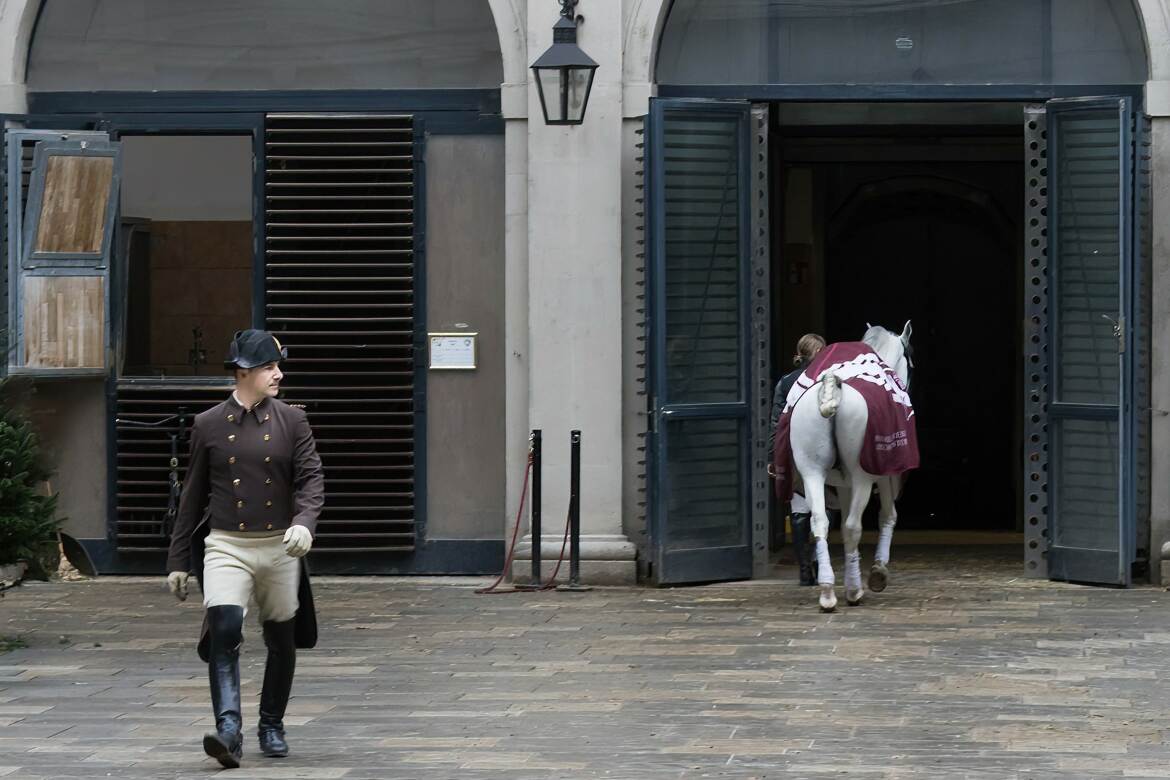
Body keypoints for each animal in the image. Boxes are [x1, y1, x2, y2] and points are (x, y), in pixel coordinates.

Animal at [786, 320, 912, 612]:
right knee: (854, 526)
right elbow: (888, 515)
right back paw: (854, 590)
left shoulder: (842, 483)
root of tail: (833, 384)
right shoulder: (885, 473)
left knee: (819, 521)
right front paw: (878, 571)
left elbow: (839, 523)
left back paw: (827, 591)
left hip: (812, 472)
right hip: (862, 477)